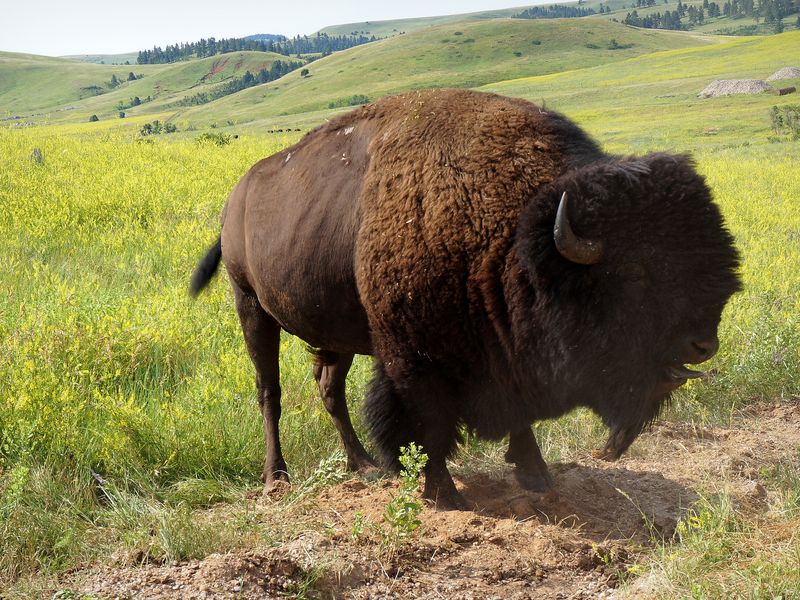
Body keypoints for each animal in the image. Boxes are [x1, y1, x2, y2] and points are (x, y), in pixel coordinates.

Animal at [191, 89, 741, 509]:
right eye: (636, 273)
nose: (703, 344)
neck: (512, 239)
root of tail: (236, 197)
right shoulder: (412, 360)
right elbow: (426, 423)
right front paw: (444, 494)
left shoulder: (503, 352)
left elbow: (517, 415)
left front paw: (536, 474)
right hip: (251, 307)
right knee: (270, 392)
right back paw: (277, 478)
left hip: (335, 330)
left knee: (329, 387)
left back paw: (364, 466)